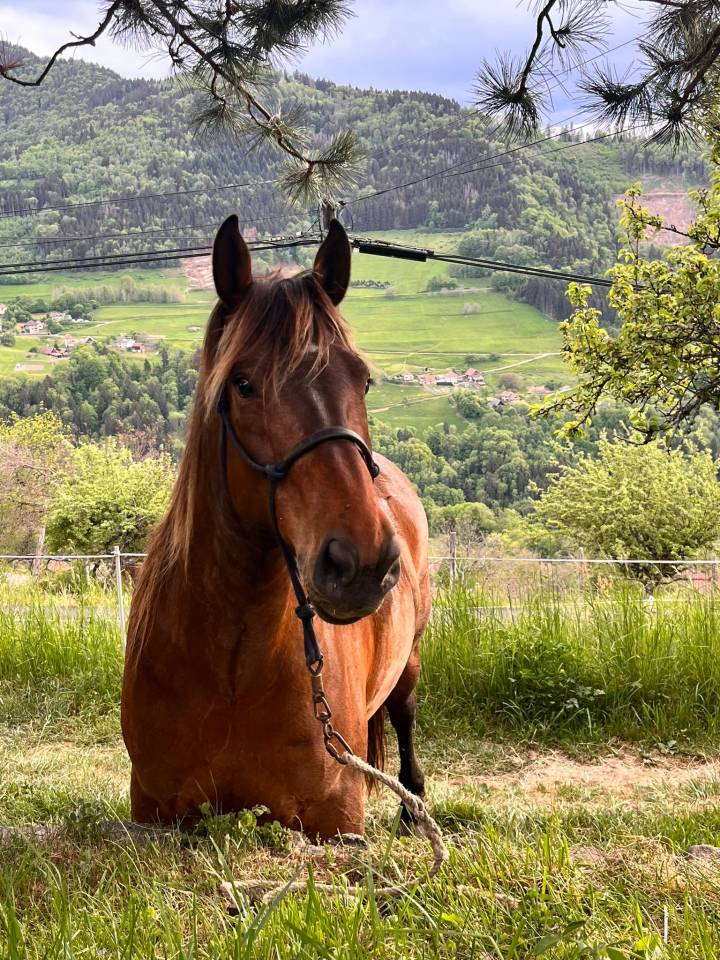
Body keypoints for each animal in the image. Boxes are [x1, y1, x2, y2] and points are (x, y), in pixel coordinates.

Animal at [121, 216, 431, 840]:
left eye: (363, 381)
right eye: (242, 384)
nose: (362, 562)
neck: (232, 668)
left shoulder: (335, 817)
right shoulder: (154, 811)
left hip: (409, 659)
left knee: (405, 718)